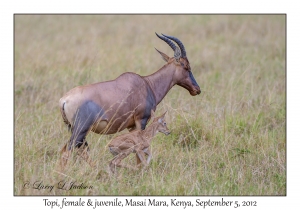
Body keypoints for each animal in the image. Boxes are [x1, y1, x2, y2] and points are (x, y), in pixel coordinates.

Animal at [59, 33, 200, 167]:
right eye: (186, 66)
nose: (197, 89)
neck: (147, 84)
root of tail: (64, 100)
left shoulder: (131, 126)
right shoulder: (141, 120)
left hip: (73, 129)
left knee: (77, 150)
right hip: (81, 129)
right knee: (67, 151)